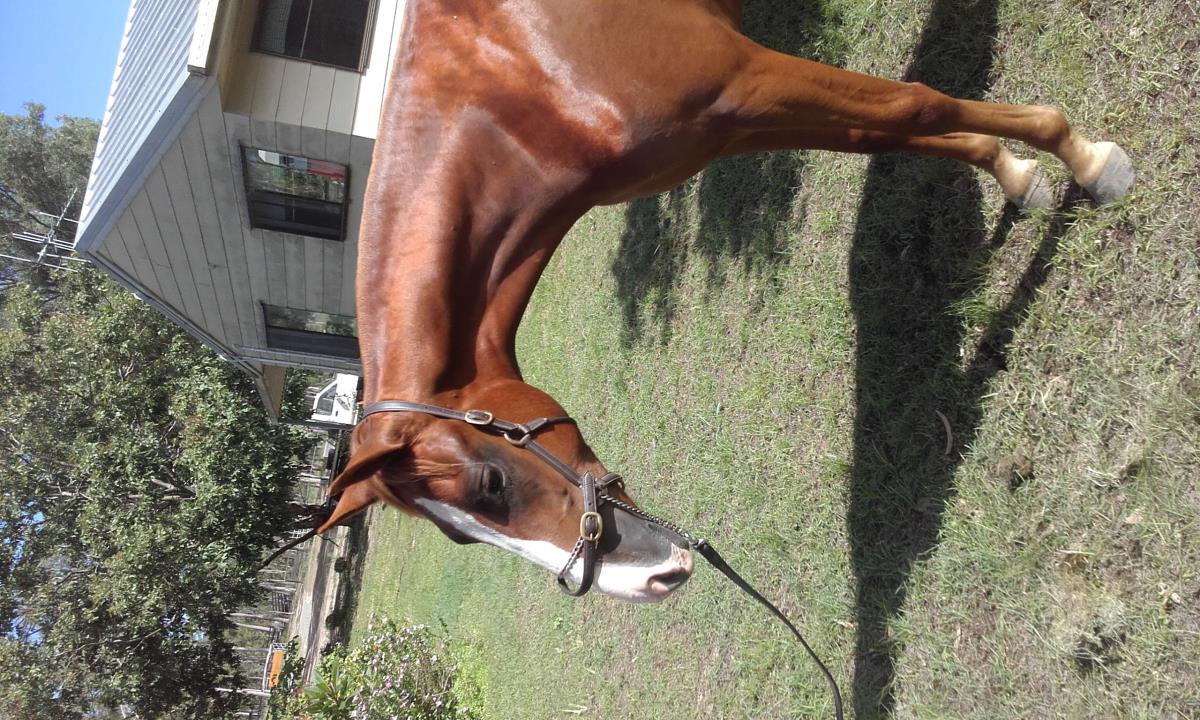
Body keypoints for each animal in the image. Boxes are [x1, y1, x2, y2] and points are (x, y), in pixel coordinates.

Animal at [316, 0, 1134, 602]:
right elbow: (888, 129)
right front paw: (1018, 174)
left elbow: (916, 105)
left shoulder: (746, 77)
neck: (515, 79)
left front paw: (1089, 159)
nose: (649, 582)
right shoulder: (728, 123)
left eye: (491, 483)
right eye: (460, 534)